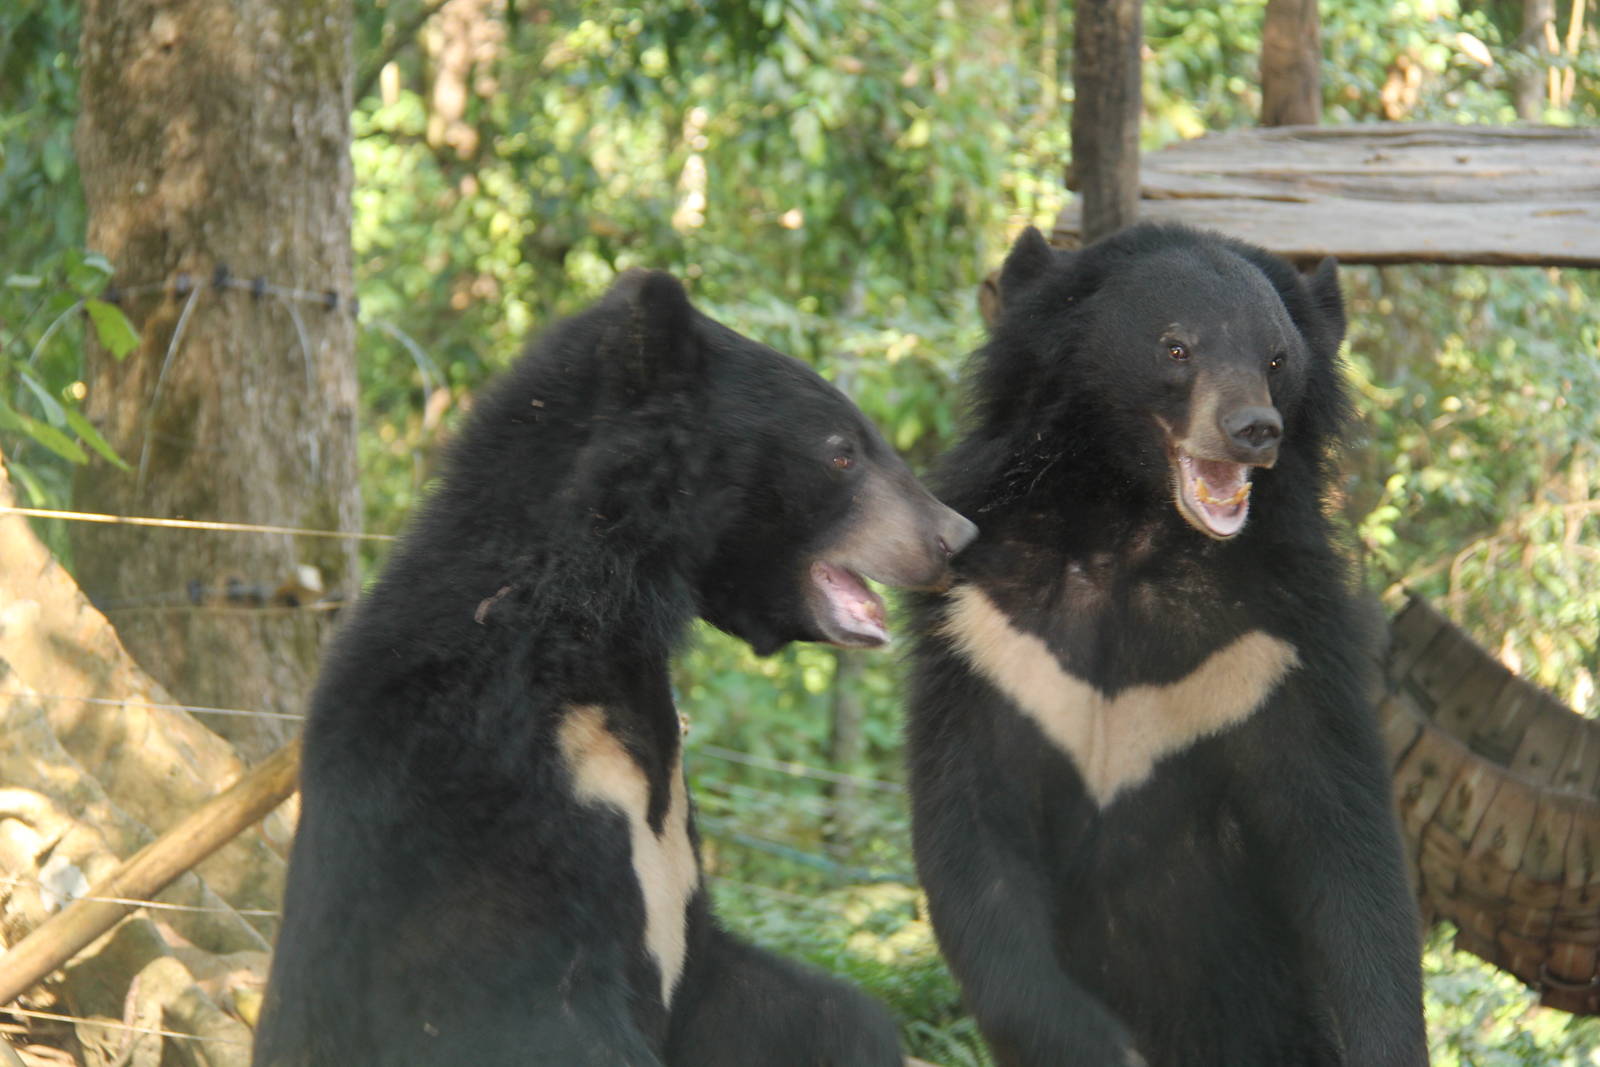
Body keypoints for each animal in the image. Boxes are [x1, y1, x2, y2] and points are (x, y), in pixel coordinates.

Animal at [903, 223, 1427, 1066]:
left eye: (1276, 357)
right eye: (1176, 347)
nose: (1253, 430)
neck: (1137, 528)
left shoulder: (1274, 650)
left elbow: (1347, 851)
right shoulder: (993, 640)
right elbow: (977, 848)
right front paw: (1098, 1043)